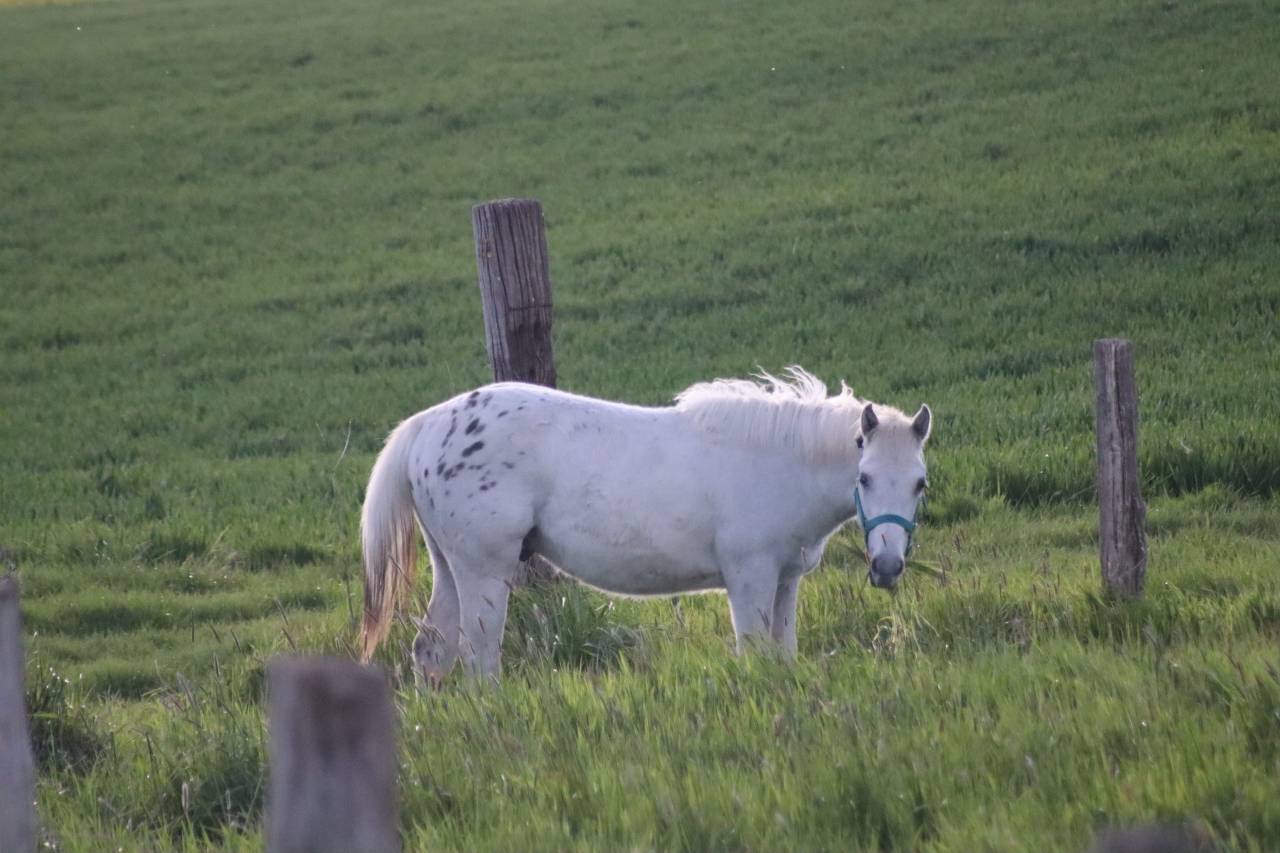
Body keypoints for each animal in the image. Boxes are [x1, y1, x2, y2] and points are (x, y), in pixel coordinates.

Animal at [358, 367, 932, 683]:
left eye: (920, 484)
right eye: (864, 477)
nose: (886, 567)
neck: (779, 461)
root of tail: (429, 423)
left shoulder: (785, 580)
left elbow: (782, 653)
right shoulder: (749, 579)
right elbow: (753, 650)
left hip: (450, 567)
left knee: (431, 650)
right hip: (484, 570)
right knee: (478, 658)